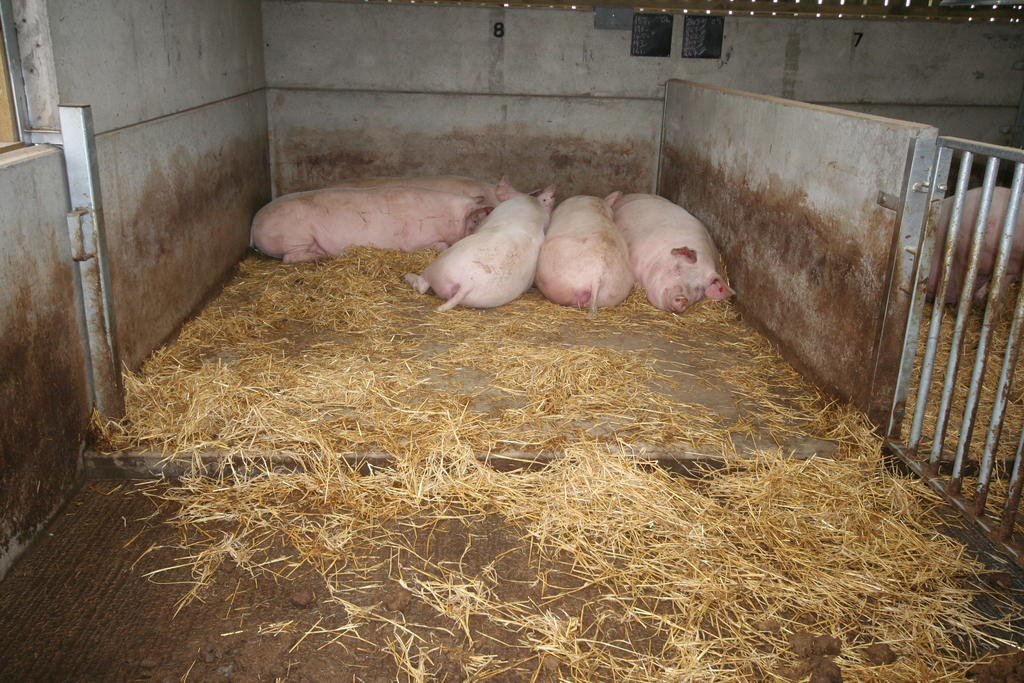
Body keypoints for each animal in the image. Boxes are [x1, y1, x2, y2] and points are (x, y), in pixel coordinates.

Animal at [250, 186, 492, 263]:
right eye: (476, 221)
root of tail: (253, 227)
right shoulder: (417, 241)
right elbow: (441, 246)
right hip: (296, 237)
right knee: (289, 258)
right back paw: (323, 256)